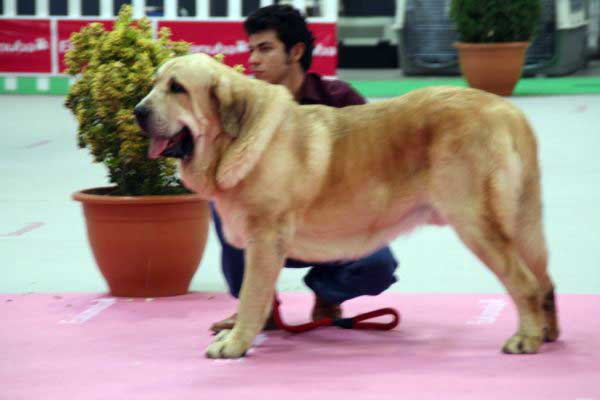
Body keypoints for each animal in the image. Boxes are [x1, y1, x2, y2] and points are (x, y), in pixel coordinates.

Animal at [134, 54, 560, 360]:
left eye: (177, 88)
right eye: (154, 84)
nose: (138, 110)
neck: (235, 137)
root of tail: (508, 111)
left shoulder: (265, 239)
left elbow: (254, 294)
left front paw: (236, 343)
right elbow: (259, 295)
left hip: (477, 224)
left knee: (524, 282)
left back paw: (525, 338)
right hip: (519, 224)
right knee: (544, 280)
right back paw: (547, 332)